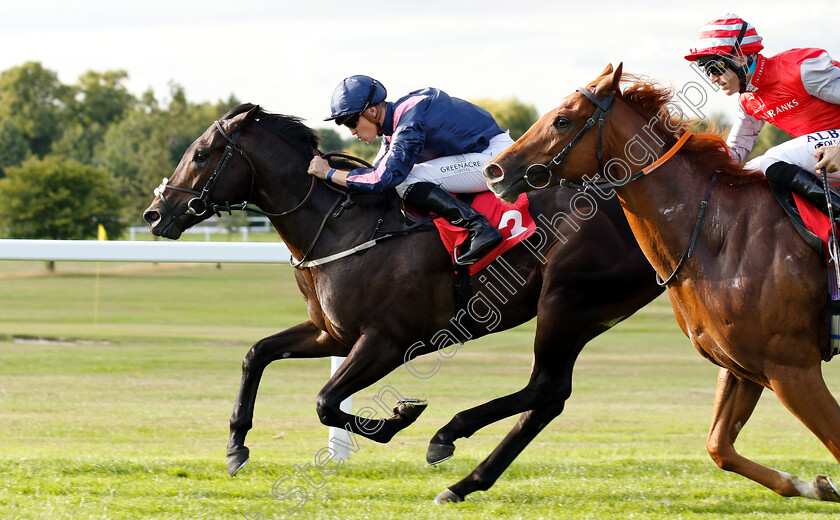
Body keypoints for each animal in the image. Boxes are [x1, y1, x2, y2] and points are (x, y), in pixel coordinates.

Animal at [141, 102, 664, 504]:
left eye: (201, 154)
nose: (155, 213)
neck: (339, 226)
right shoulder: (332, 334)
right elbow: (257, 354)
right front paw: (235, 448)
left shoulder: (387, 342)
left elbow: (325, 402)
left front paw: (399, 417)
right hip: (579, 313)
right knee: (547, 398)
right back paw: (465, 480)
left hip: (565, 302)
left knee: (545, 388)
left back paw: (448, 438)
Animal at [482, 63, 840, 502]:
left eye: (562, 120)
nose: (495, 170)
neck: (718, 233)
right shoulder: (744, 366)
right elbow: (719, 447)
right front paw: (816, 485)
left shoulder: (793, 369)